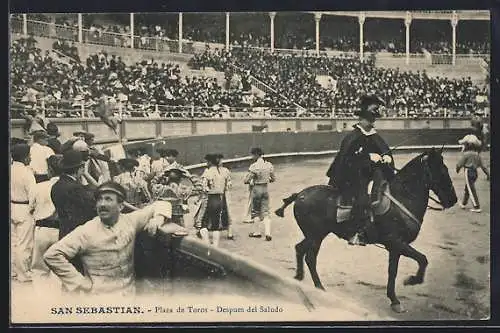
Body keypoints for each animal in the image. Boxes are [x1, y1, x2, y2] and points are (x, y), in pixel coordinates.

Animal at [274, 148, 458, 312]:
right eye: (442, 171)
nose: (453, 200)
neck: (402, 198)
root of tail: (300, 194)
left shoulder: (395, 248)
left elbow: (393, 271)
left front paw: (394, 300)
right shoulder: (397, 243)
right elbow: (422, 259)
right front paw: (412, 280)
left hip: (315, 235)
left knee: (301, 250)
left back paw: (300, 278)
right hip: (316, 236)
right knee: (309, 257)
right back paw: (319, 287)